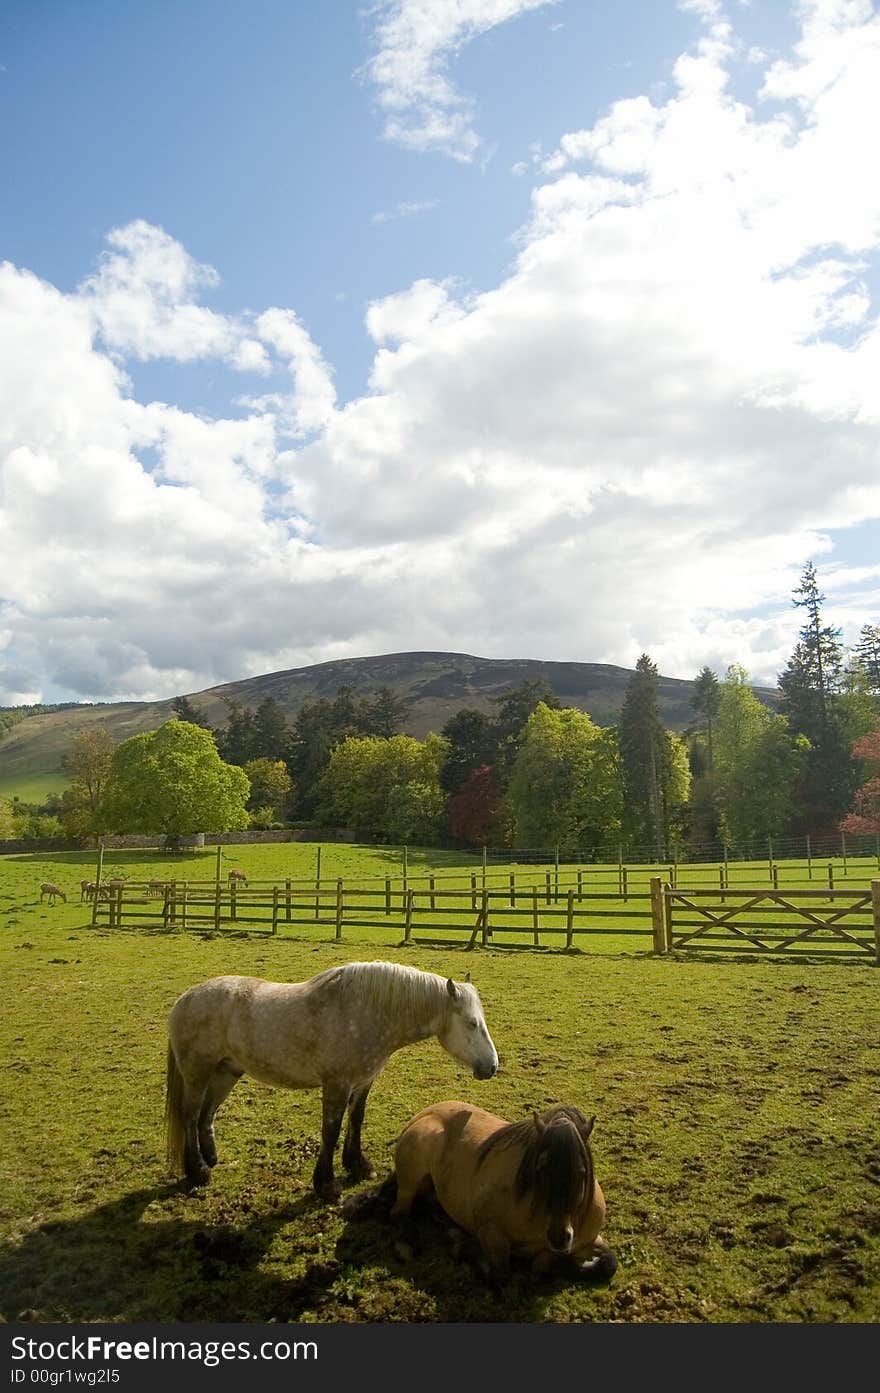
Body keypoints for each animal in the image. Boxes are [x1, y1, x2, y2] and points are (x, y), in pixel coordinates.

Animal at [163, 963, 495, 1203]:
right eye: (471, 1023)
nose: (492, 1066)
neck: (367, 1012)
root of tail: (183, 1000)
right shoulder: (337, 1084)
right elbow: (331, 1130)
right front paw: (326, 1185)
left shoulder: (362, 1082)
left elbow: (356, 1119)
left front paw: (357, 1165)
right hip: (197, 1074)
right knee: (191, 1115)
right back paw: (198, 1171)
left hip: (226, 1073)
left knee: (206, 1115)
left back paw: (210, 1159)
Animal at [350, 1097, 618, 1281]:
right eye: (541, 1168)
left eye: (581, 1173)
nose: (559, 1237)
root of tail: (423, 1114)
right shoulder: (491, 1233)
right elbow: (500, 1272)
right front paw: (465, 1250)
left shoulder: (588, 1239)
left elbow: (608, 1263)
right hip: (412, 1178)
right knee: (399, 1213)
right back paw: (412, 1242)